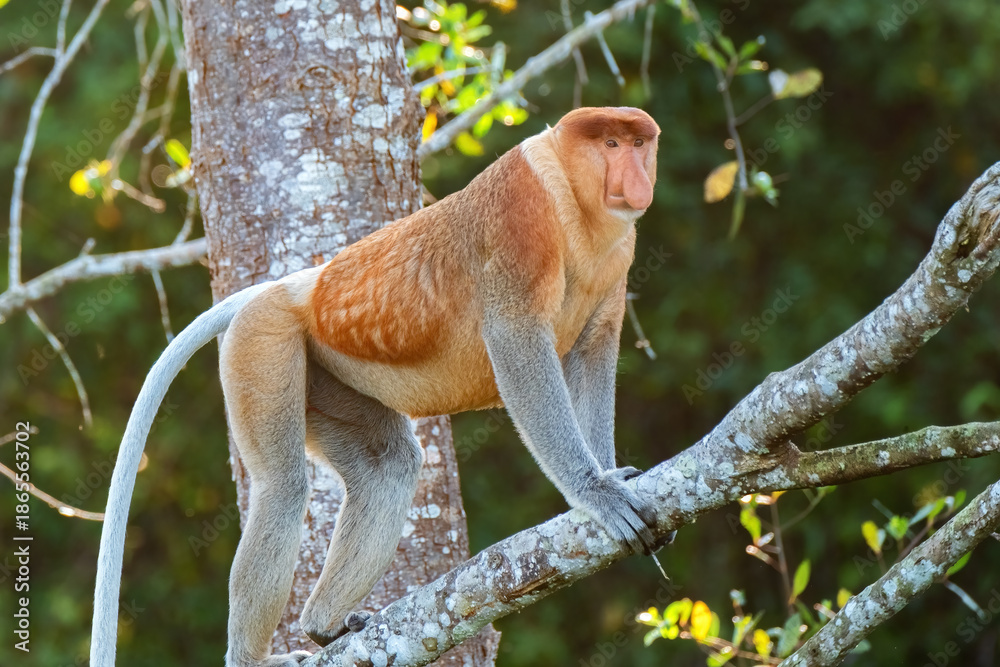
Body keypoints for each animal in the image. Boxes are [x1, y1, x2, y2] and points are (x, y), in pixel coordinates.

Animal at [90, 106, 661, 667]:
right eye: (610, 144)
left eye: (639, 144)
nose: (635, 180)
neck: (572, 197)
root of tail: (294, 286)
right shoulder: (520, 212)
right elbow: (517, 340)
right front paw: (597, 493)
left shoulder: (619, 256)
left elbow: (593, 349)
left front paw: (613, 477)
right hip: (263, 341)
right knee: (282, 489)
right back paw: (253, 656)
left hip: (321, 372)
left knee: (386, 463)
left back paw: (324, 625)